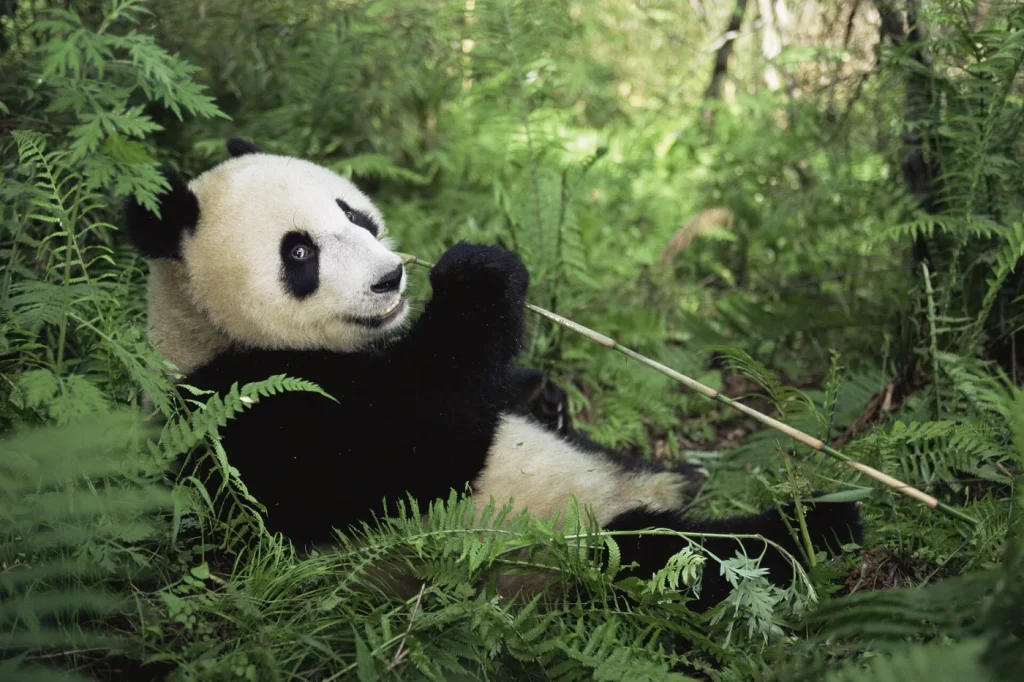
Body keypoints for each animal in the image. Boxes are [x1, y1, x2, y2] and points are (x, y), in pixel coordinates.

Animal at [124, 138, 863, 611]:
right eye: (299, 252)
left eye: (354, 214)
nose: (390, 279)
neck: (206, 329)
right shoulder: (243, 414)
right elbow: (410, 451)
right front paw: (479, 275)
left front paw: (543, 391)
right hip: (561, 550)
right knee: (682, 557)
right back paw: (819, 525)